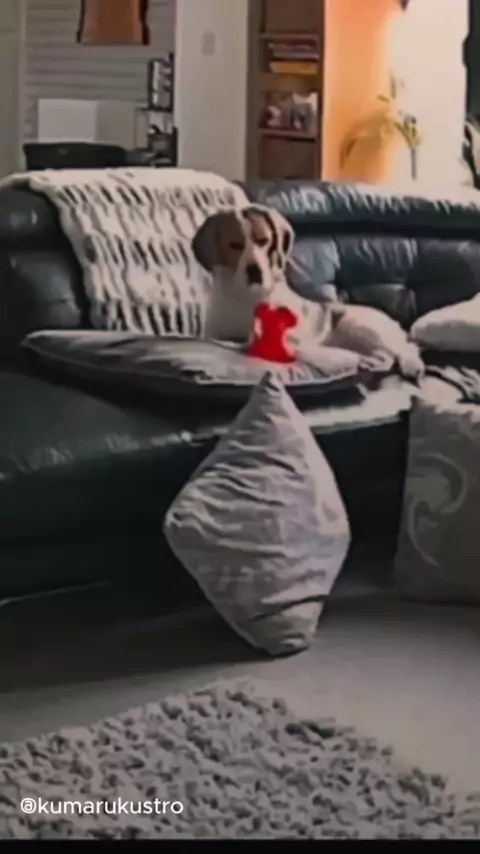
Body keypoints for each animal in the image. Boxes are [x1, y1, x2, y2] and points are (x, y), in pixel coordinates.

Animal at [192, 205, 424, 380]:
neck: (243, 296)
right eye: (235, 245)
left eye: (264, 241)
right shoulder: (216, 333)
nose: (255, 270)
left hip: (354, 325)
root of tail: (396, 326)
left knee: (395, 354)